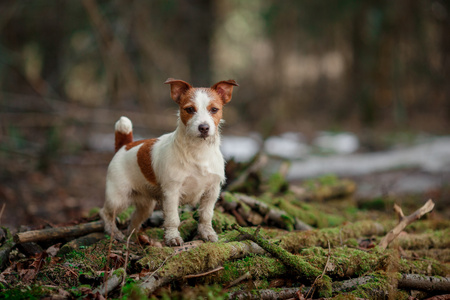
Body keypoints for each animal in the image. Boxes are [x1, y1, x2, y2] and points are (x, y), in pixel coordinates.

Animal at [99, 77, 239, 246]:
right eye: (190, 109)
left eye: (214, 109)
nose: (204, 127)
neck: (199, 151)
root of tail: (125, 145)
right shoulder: (172, 192)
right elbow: (173, 218)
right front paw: (172, 238)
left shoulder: (212, 192)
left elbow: (206, 215)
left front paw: (207, 233)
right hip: (118, 197)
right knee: (106, 213)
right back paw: (114, 233)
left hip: (146, 205)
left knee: (134, 219)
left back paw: (132, 237)